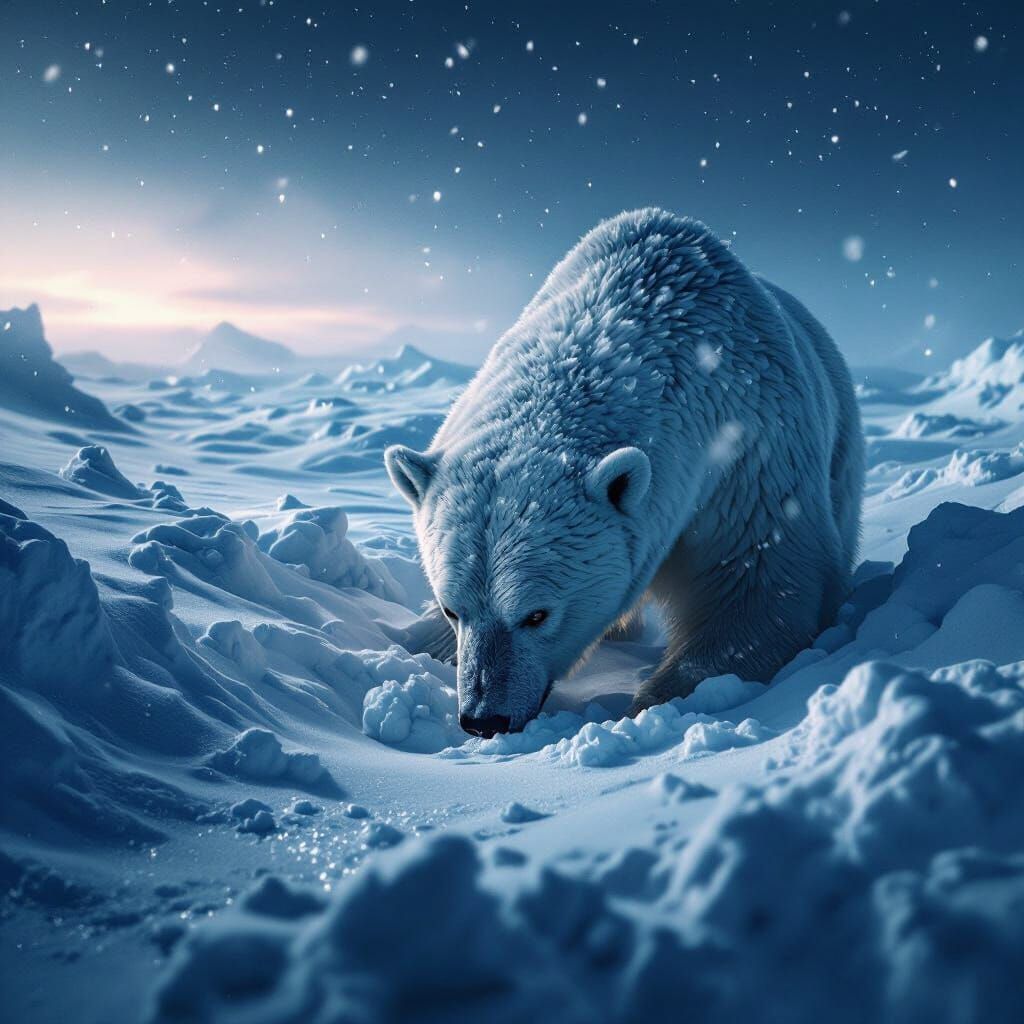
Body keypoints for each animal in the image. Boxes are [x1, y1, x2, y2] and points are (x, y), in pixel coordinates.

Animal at [385, 208, 864, 737]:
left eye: (536, 615)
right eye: (453, 608)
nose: (484, 719)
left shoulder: (750, 461)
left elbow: (756, 590)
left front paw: (657, 699)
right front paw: (423, 645)